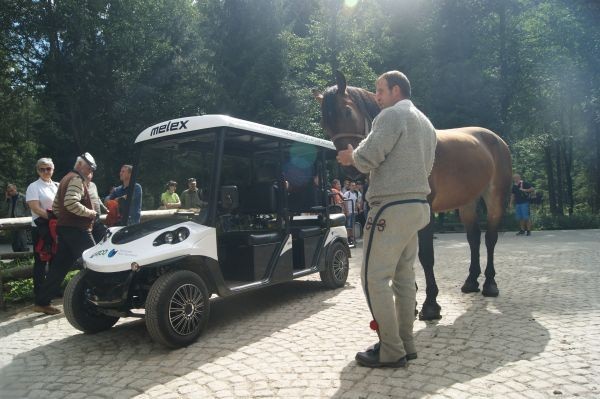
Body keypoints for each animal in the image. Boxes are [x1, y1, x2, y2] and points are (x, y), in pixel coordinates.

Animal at [314, 72, 510, 322]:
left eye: (347, 112)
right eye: (324, 123)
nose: (348, 168)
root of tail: (496, 139)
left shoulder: (424, 212)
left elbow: (426, 256)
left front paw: (430, 305)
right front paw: (411, 302)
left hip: (495, 198)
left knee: (490, 238)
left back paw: (490, 284)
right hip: (468, 203)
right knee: (474, 238)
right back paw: (470, 281)